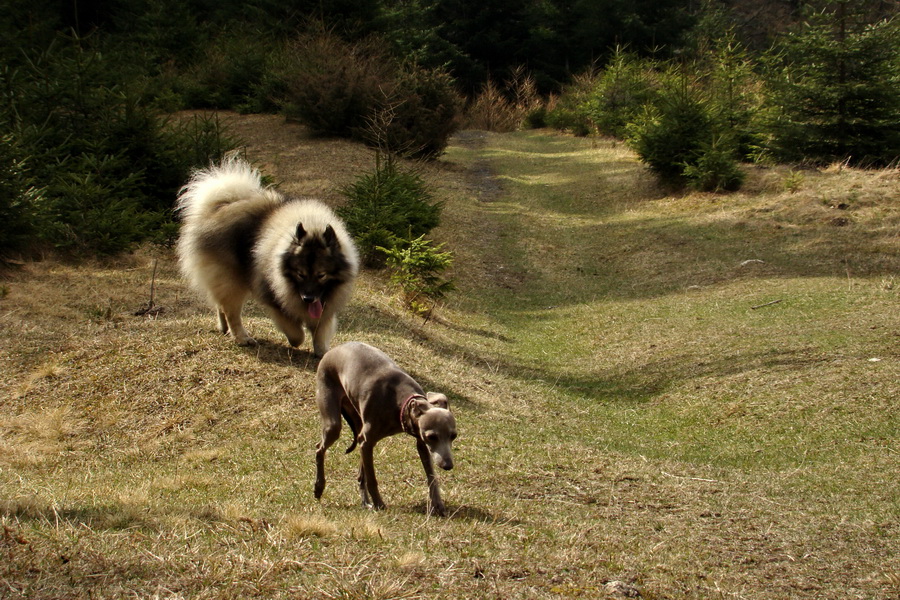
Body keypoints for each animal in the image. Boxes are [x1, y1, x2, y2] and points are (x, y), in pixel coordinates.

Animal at [176, 155, 358, 356]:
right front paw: (296, 341)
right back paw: (242, 337)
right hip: (231, 282)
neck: (313, 224)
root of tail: (220, 206)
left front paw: (323, 351)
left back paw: (224, 328)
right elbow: (296, 333)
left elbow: (320, 333)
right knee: (232, 312)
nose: (308, 298)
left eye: (321, 275)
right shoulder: (273, 300)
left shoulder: (325, 310)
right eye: (300, 274)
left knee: (220, 305)